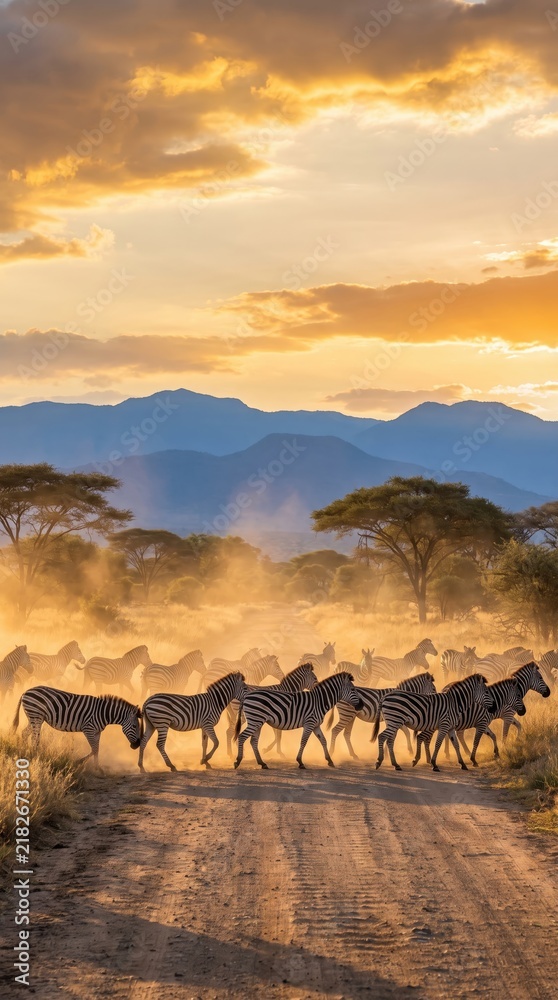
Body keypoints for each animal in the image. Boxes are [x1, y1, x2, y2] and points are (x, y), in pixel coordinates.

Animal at [12, 685, 143, 768]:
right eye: (135, 726)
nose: (136, 745)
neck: (103, 713)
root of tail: (25, 692)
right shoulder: (88, 729)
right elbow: (94, 749)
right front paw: (80, 762)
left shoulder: (97, 732)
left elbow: (96, 749)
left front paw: (97, 767)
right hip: (36, 716)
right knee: (35, 738)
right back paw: (36, 756)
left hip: (34, 717)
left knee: (25, 733)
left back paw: (25, 752)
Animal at [233, 671, 363, 770]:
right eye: (353, 689)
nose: (361, 705)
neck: (319, 701)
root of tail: (246, 697)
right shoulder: (309, 723)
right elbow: (303, 741)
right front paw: (300, 762)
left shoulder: (316, 725)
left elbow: (323, 741)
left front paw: (330, 760)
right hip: (255, 720)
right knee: (242, 736)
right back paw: (238, 761)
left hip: (258, 722)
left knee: (253, 741)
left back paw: (262, 763)